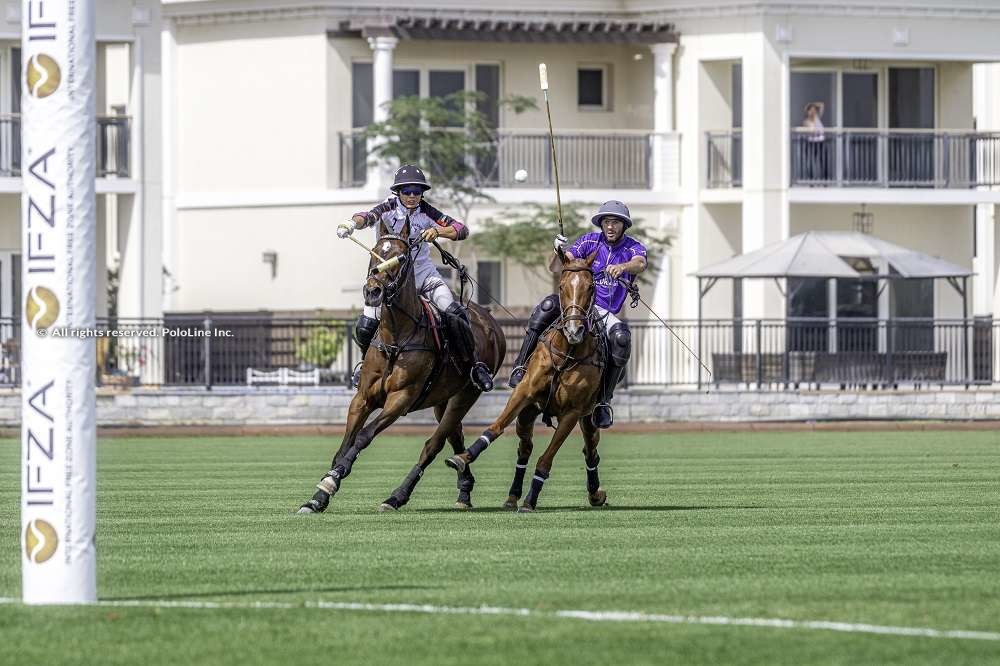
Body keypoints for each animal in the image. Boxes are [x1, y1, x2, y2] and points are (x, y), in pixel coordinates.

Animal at [294, 215, 500, 510]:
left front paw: (332, 480)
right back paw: (464, 490)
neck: (395, 338)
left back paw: (397, 496)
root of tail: (491, 319)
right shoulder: (363, 398)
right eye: (374, 254)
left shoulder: (400, 399)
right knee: (455, 435)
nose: (373, 291)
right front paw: (318, 497)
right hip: (442, 400)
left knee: (433, 445)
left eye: (401, 259)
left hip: (466, 394)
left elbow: (363, 436)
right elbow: (344, 444)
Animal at [448, 249, 608, 508]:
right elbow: (496, 427)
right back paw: (512, 495)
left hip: (589, 417)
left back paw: (595, 493)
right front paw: (463, 457)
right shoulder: (524, 392)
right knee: (524, 449)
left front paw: (531, 500)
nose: (574, 331)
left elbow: (546, 459)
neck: (566, 353)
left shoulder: (572, 412)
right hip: (528, 413)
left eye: (591, 286)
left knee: (590, 450)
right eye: (562, 286)